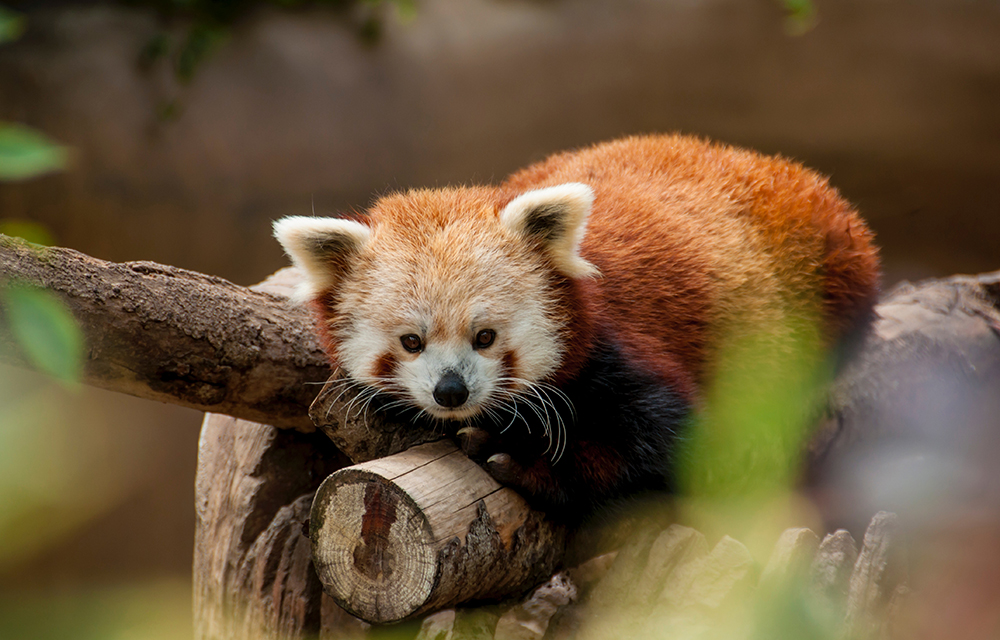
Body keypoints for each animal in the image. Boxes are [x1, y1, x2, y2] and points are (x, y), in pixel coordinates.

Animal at [278, 134, 880, 520]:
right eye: (411, 342)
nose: (452, 392)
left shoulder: (620, 349)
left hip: (828, 269)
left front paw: (523, 461)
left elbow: (673, 446)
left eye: (485, 336)